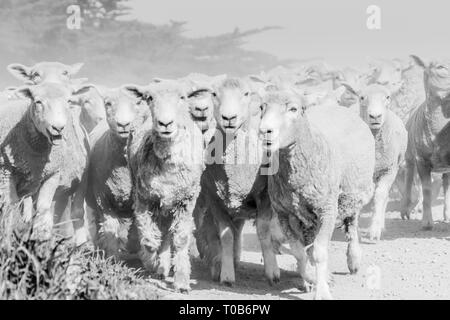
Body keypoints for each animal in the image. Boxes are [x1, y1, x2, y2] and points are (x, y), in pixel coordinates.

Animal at [0, 82, 90, 238]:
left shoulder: (53, 174)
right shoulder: (6, 172)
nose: (58, 128)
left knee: (75, 212)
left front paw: (40, 238)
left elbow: (43, 209)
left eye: (68, 101)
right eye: (38, 102)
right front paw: (9, 239)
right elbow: (11, 207)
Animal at [125, 80, 205, 292]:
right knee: (160, 232)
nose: (165, 123)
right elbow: (148, 237)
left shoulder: (186, 201)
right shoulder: (143, 197)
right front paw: (151, 261)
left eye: (182, 97)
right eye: (150, 98)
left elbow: (181, 239)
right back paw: (158, 266)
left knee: (168, 233)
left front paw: (182, 281)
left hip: (170, 203)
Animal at [258, 86, 374, 298]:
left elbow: (320, 253)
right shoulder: (284, 213)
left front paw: (322, 291)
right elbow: (299, 252)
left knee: (352, 224)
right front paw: (312, 277)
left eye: (293, 109)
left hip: (352, 197)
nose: (264, 131)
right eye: (262, 107)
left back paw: (353, 259)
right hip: (308, 217)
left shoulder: (327, 210)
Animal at [342, 83, 410, 240]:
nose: (375, 116)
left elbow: (380, 196)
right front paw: (355, 231)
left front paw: (374, 231)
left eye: (387, 97)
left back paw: (381, 226)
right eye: (362, 97)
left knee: (384, 196)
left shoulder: (389, 170)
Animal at [402, 56, 450, 229]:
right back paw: (405, 211)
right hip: (409, 155)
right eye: (441, 67)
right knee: (409, 178)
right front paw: (427, 222)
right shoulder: (421, 159)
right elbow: (427, 190)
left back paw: (446, 215)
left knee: (446, 185)